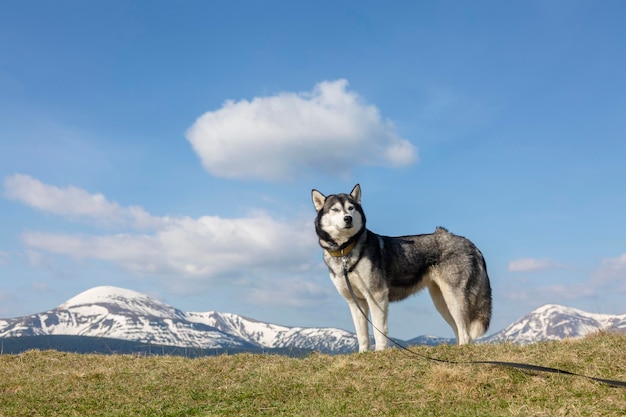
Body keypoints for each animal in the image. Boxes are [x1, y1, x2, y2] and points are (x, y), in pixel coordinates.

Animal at [310, 184, 490, 350]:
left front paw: (380, 353)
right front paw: (363, 354)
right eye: (335, 209)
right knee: (459, 331)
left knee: (466, 333)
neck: (345, 251)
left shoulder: (377, 296)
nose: (348, 218)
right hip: (442, 302)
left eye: (351, 208)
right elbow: (362, 335)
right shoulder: (355, 302)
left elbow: (379, 331)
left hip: (454, 298)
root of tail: (470, 243)